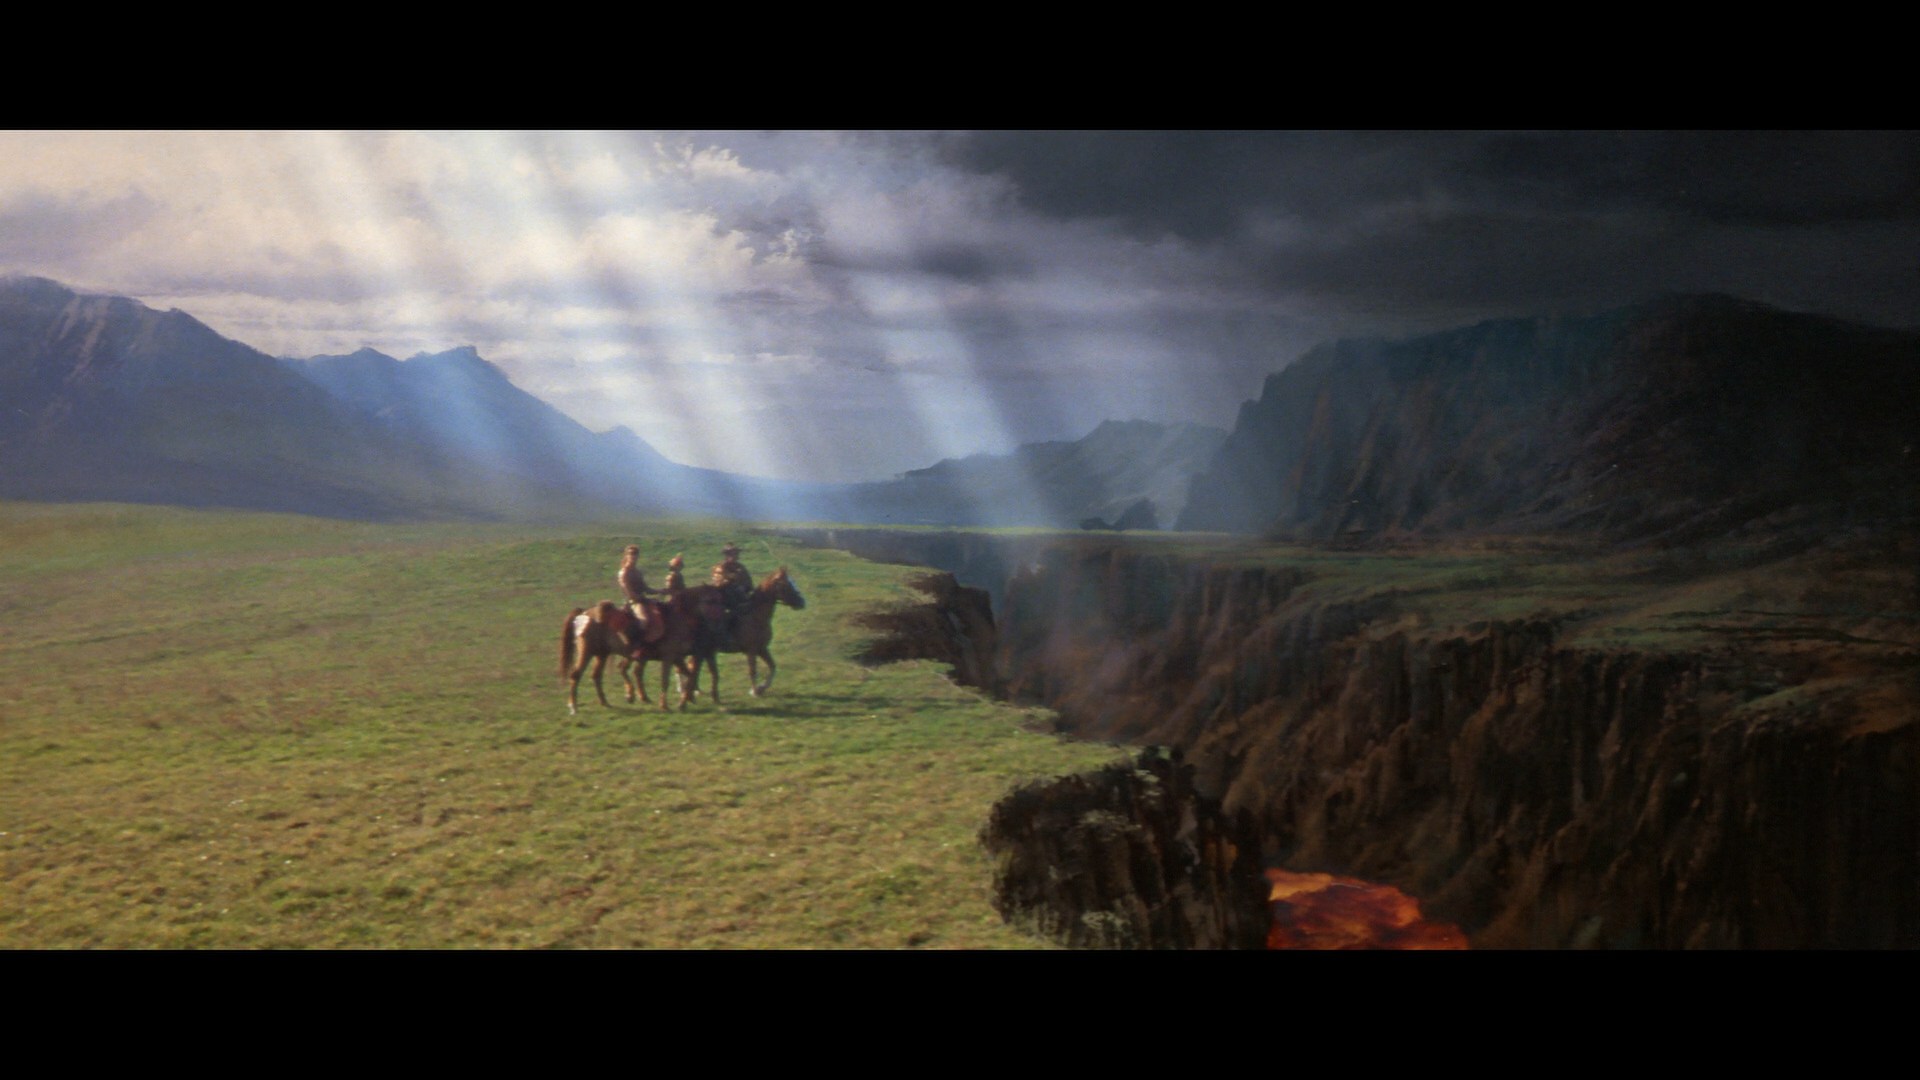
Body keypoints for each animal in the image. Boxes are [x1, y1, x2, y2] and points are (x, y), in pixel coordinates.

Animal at [684, 568, 806, 703]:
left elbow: (772, 666)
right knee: (692, 665)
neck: (755, 616)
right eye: (786, 585)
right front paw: (755, 691)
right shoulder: (751, 651)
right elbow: (752, 670)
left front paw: (761, 688)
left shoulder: (762, 649)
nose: (802, 602)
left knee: (693, 665)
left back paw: (695, 690)